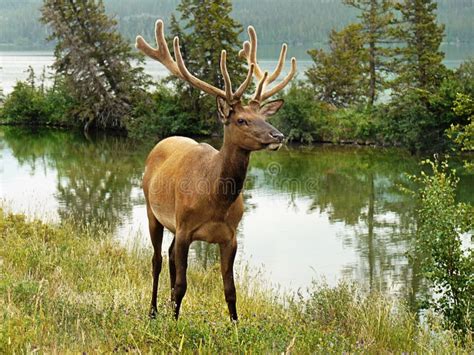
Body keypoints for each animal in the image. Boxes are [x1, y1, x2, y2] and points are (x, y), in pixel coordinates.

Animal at [135, 19, 294, 322]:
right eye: (242, 120)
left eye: (264, 116)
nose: (278, 135)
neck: (215, 199)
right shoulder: (185, 227)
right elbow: (182, 285)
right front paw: (174, 324)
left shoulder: (230, 236)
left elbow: (230, 290)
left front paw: (235, 325)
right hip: (153, 211)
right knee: (157, 260)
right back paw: (153, 311)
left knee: (169, 257)